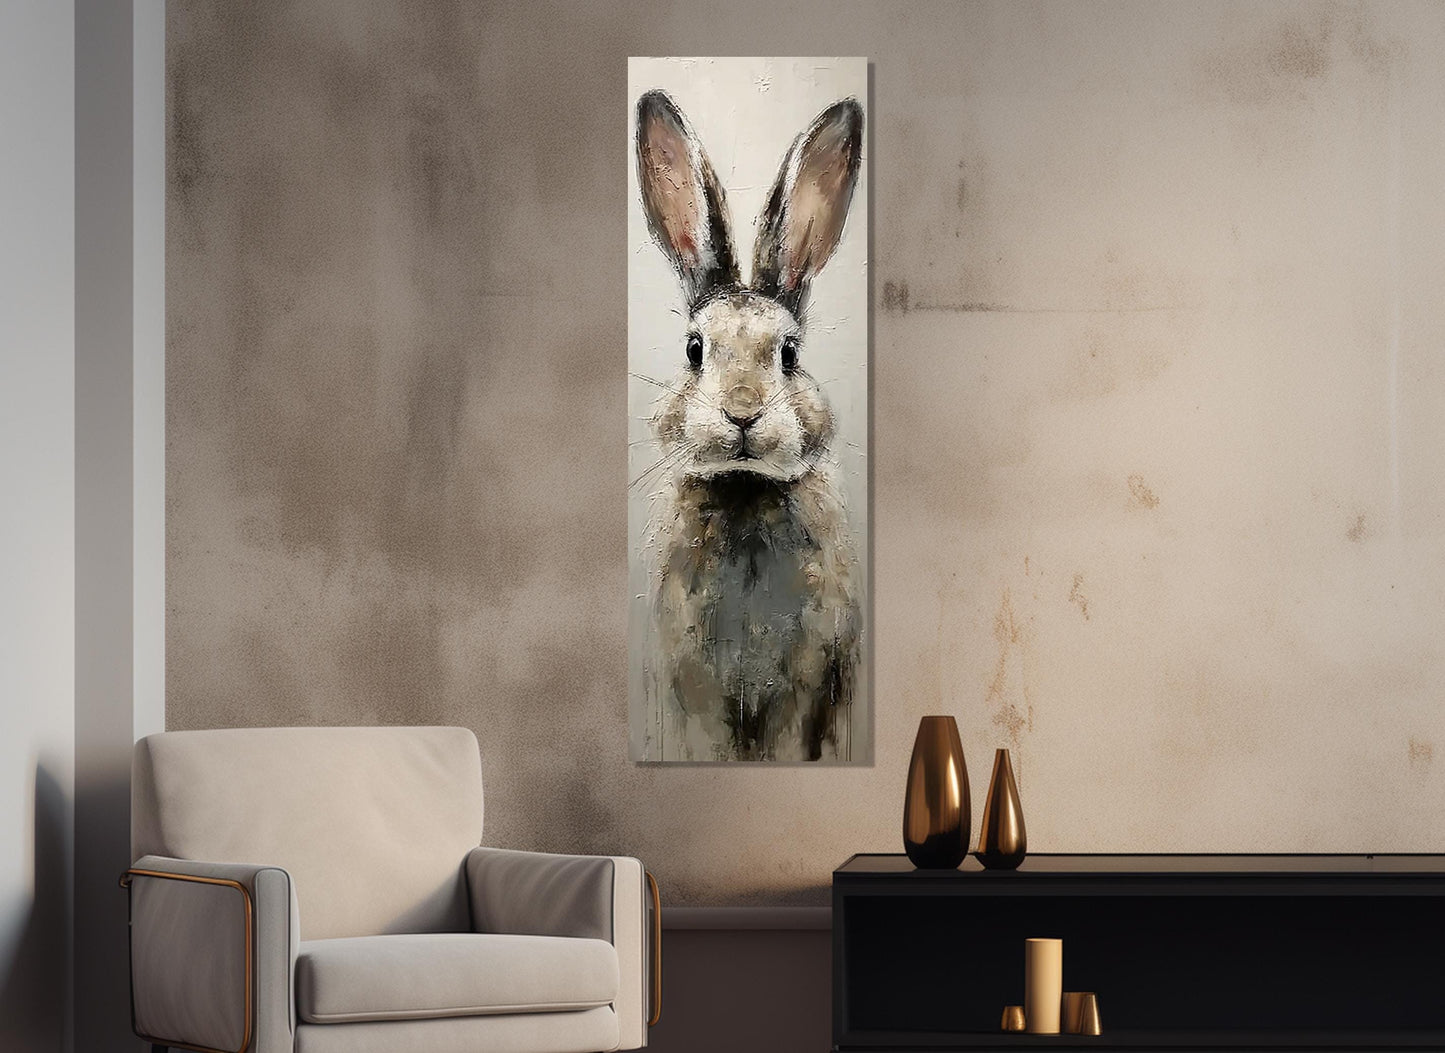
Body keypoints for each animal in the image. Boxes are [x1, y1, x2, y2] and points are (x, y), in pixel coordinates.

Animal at [634, 89, 864, 762]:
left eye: (789, 353)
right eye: (693, 349)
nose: (742, 411)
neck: (744, 488)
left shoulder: (808, 687)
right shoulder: (692, 689)